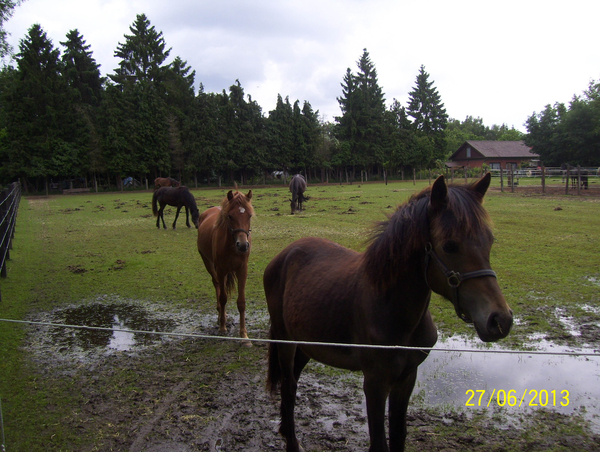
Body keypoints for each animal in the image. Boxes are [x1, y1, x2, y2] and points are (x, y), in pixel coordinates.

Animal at [197, 189, 253, 344]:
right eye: (230, 216)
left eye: (249, 215)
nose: (243, 245)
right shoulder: (221, 270)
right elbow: (223, 298)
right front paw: (222, 328)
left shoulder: (242, 270)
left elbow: (241, 302)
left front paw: (244, 335)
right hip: (209, 264)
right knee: (216, 284)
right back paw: (220, 316)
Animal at [264, 173, 512, 452]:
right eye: (450, 245)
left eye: (490, 240)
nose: (500, 320)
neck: (393, 310)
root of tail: (284, 254)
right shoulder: (375, 382)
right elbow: (380, 442)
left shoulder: (406, 378)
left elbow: (398, 434)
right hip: (285, 341)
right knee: (288, 385)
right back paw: (292, 441)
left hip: (307, 344)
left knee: (293, 381)